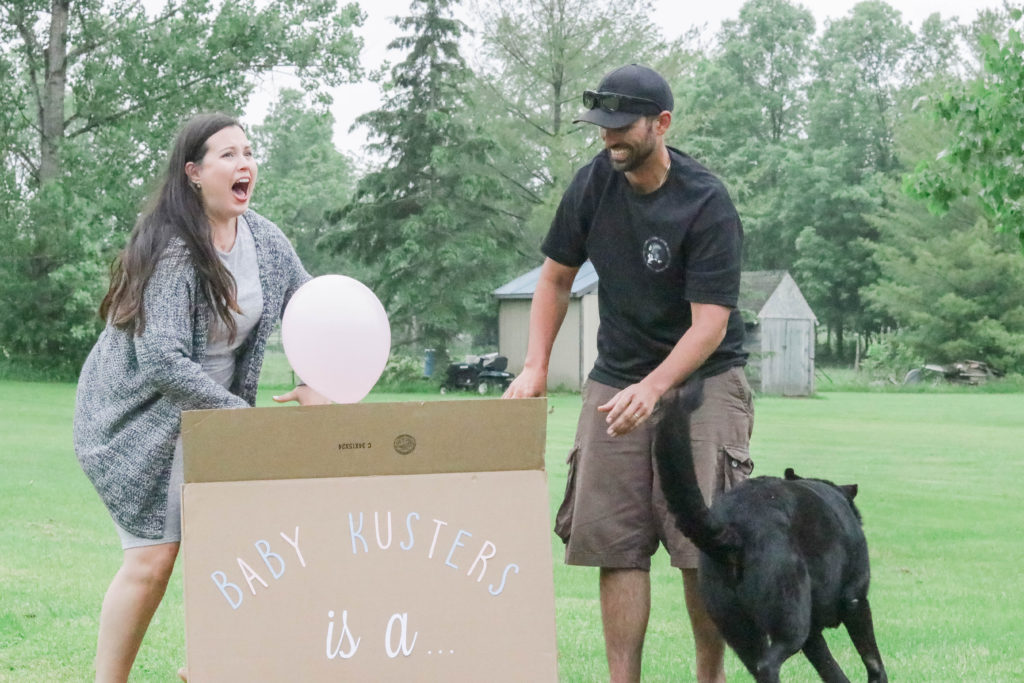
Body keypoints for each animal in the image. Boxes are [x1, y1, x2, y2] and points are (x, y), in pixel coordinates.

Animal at [655, 382, 888, 679]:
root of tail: (731, 531)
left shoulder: (813, 634)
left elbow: (831, 670)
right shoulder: (855, 600)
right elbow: (873, 659)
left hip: (738, 628)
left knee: (758, 664)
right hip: (790, 620)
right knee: (769, 664)